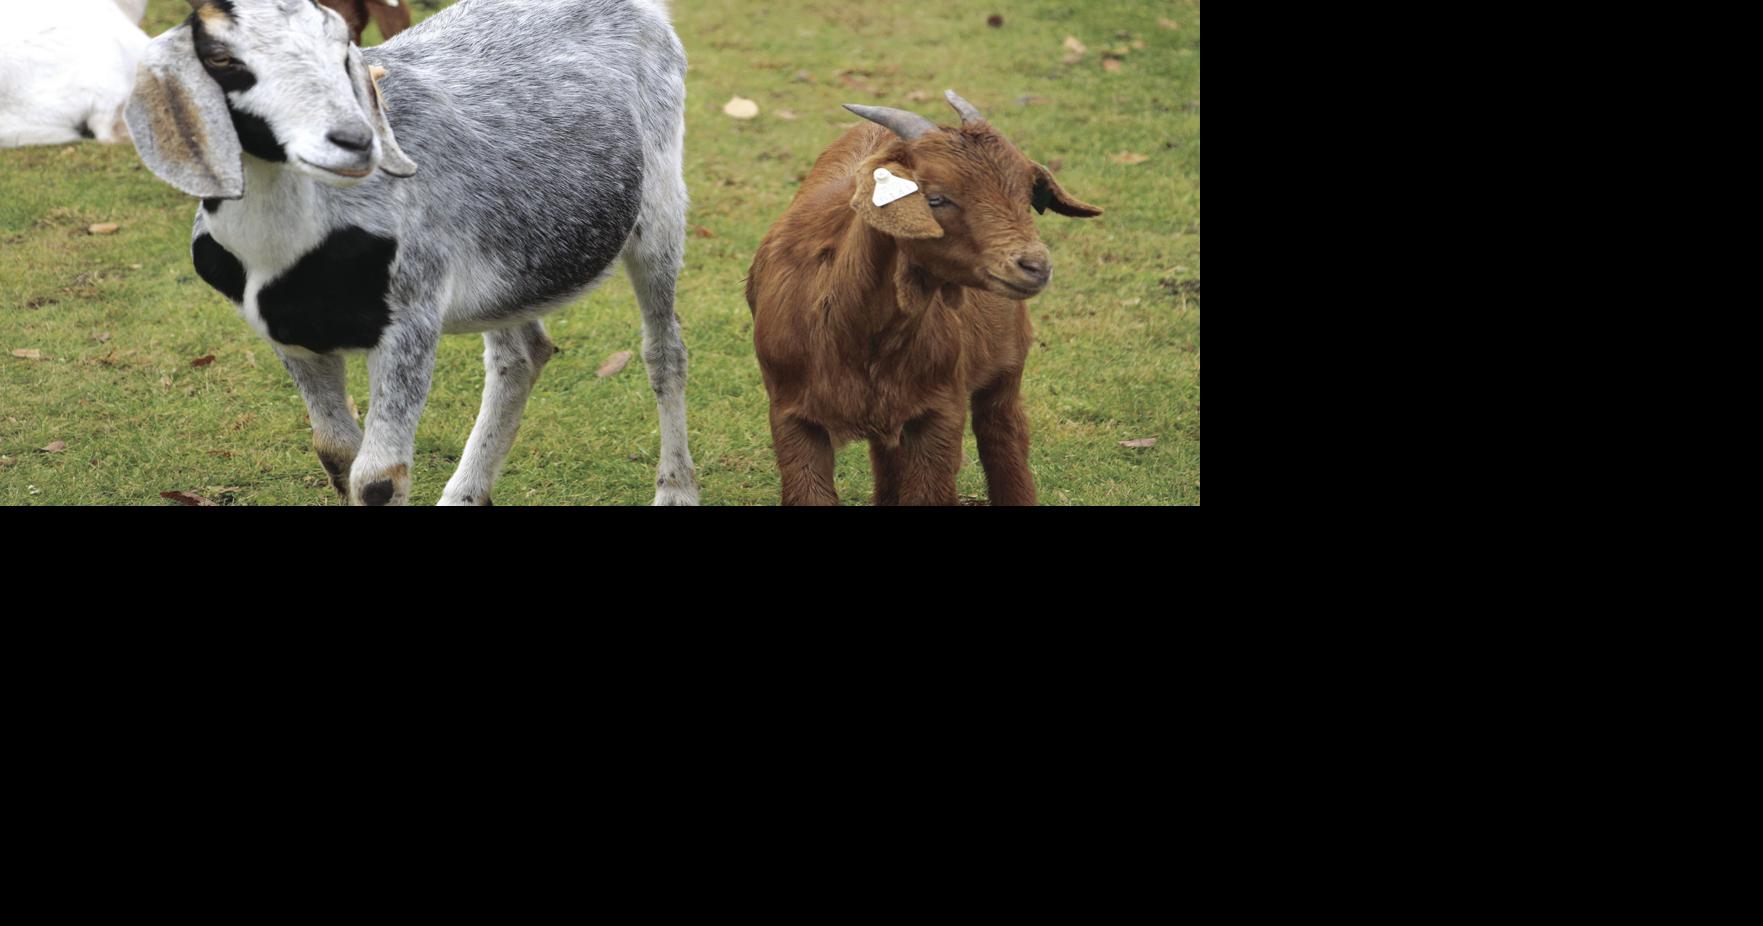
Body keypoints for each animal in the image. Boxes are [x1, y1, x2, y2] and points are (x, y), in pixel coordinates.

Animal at [125, 0, 698, 505]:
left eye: (342, 48)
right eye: (221, 58)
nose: (352, 139)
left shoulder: (412, 317)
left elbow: (378, 476)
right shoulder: (289, 338)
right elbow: (336, 453)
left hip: (659, 205)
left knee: (664, 351)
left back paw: (675, 489)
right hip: (512, 265)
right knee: (521, 356)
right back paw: (465, 493)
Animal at [746, 92, 1100, 506]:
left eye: (1028, 195)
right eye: (936, 198)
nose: (1034, 266)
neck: (855, 334)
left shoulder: (940, 410)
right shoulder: (790, 414)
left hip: (1007, 365)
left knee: (1003, 436)